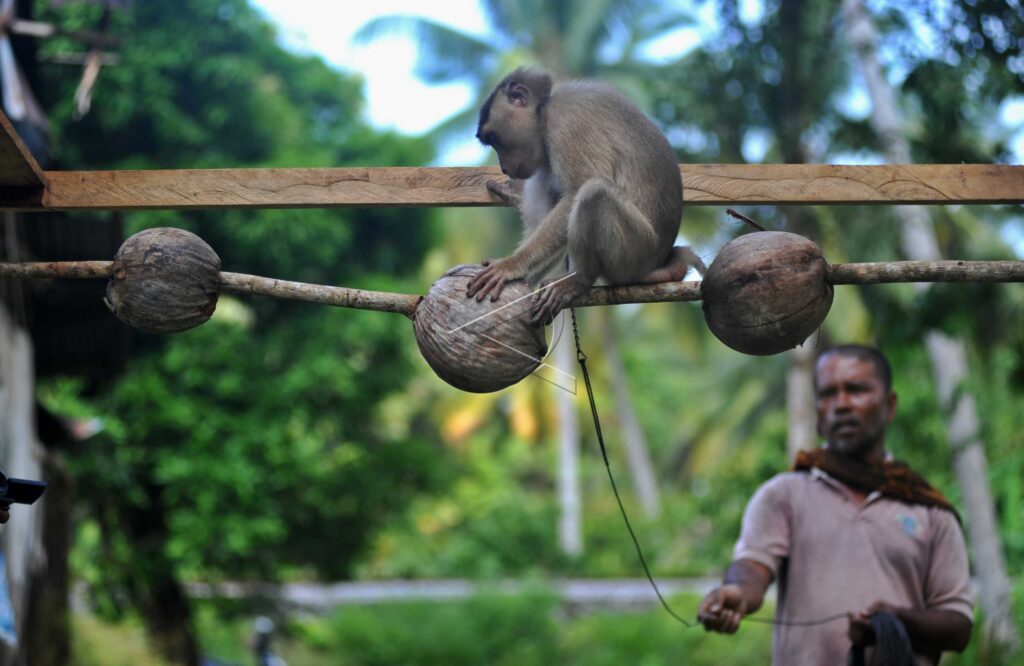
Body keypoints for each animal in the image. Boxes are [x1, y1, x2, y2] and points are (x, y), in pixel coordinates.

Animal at [467, 66, 705, 325]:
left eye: (493, 138)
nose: (503, 167)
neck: (544, 112)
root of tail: (659, 259)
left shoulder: (566, 122)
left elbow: (577, 190)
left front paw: (511, 265)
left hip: (635, 252)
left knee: (594, 192)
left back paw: (580, 280)